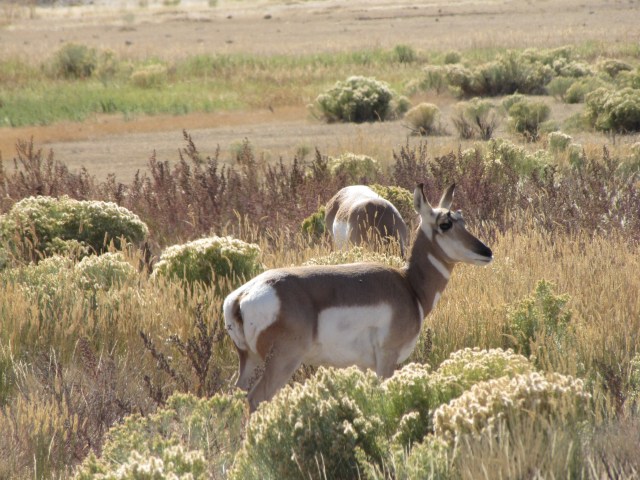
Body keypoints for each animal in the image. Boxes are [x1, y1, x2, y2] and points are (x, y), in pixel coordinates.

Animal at [223, 183, 493, 412]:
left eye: (461, 218)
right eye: (445, 223)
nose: (486, 251)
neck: (409, 286)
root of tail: (241, 296)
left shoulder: (364, 367)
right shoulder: (386, 361)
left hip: (250, 362)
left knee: (234, 397)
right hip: (283, 361)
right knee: (256, 398)